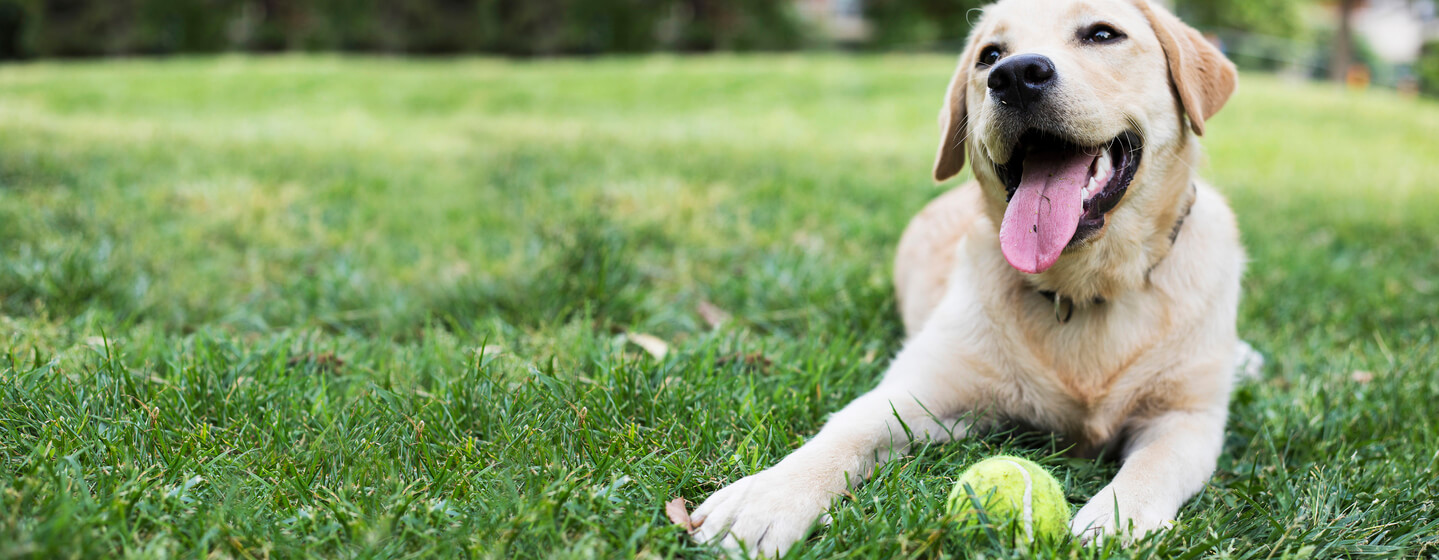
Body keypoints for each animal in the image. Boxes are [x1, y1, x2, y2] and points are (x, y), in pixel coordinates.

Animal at [690, 0, 1243, 552]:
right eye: (990, 55)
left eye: (1104, 34)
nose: (1015, 76)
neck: (1080, 287)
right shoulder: (924, 392)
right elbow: (847, 430)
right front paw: (766, 498)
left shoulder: (1188, 419)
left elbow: (1155, 463)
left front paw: (1117, 519)